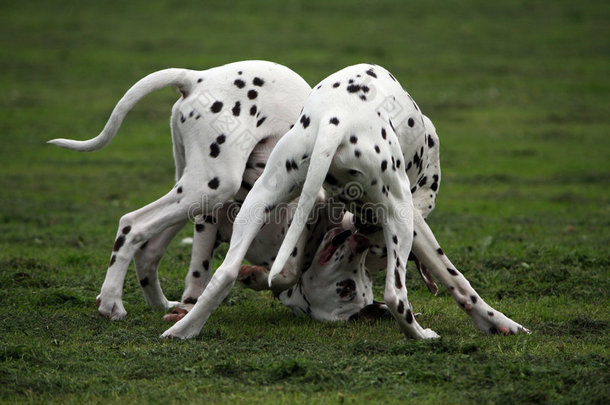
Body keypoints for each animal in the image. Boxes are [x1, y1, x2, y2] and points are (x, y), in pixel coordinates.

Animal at [48, 60, 308, 318]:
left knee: (149, 248)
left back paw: (160, 304)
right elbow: (288, 270)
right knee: (132, 225)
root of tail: (196, 78)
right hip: (212, 188)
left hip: (193, 194)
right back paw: (112, 301)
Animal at [164, 63, 528, 340]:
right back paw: (423, 336)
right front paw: (503, 324)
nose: (360, 237)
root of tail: (334, 121)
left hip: (259, 201)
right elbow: (460, 284)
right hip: (399, 215)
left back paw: (183, 330)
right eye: (346, 288)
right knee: (396, 296)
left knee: (224, 273)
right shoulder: (415, 220)